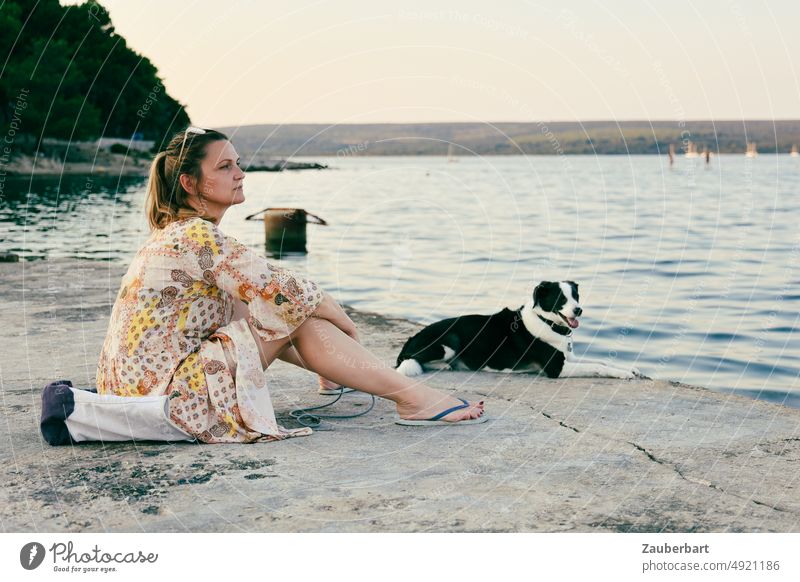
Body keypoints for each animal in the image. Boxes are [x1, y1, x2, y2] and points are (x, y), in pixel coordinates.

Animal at [396, 284, 640, 384]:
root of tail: (411, 339)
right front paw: (624, 374)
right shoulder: (556, 368)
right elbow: (597, 366)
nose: (578, 310)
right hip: (449, 342)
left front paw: (631, 369)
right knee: (410, 361)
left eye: (575, 296)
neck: (546, 322)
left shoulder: (569, 357)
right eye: (561, 298)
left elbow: (603, 362)